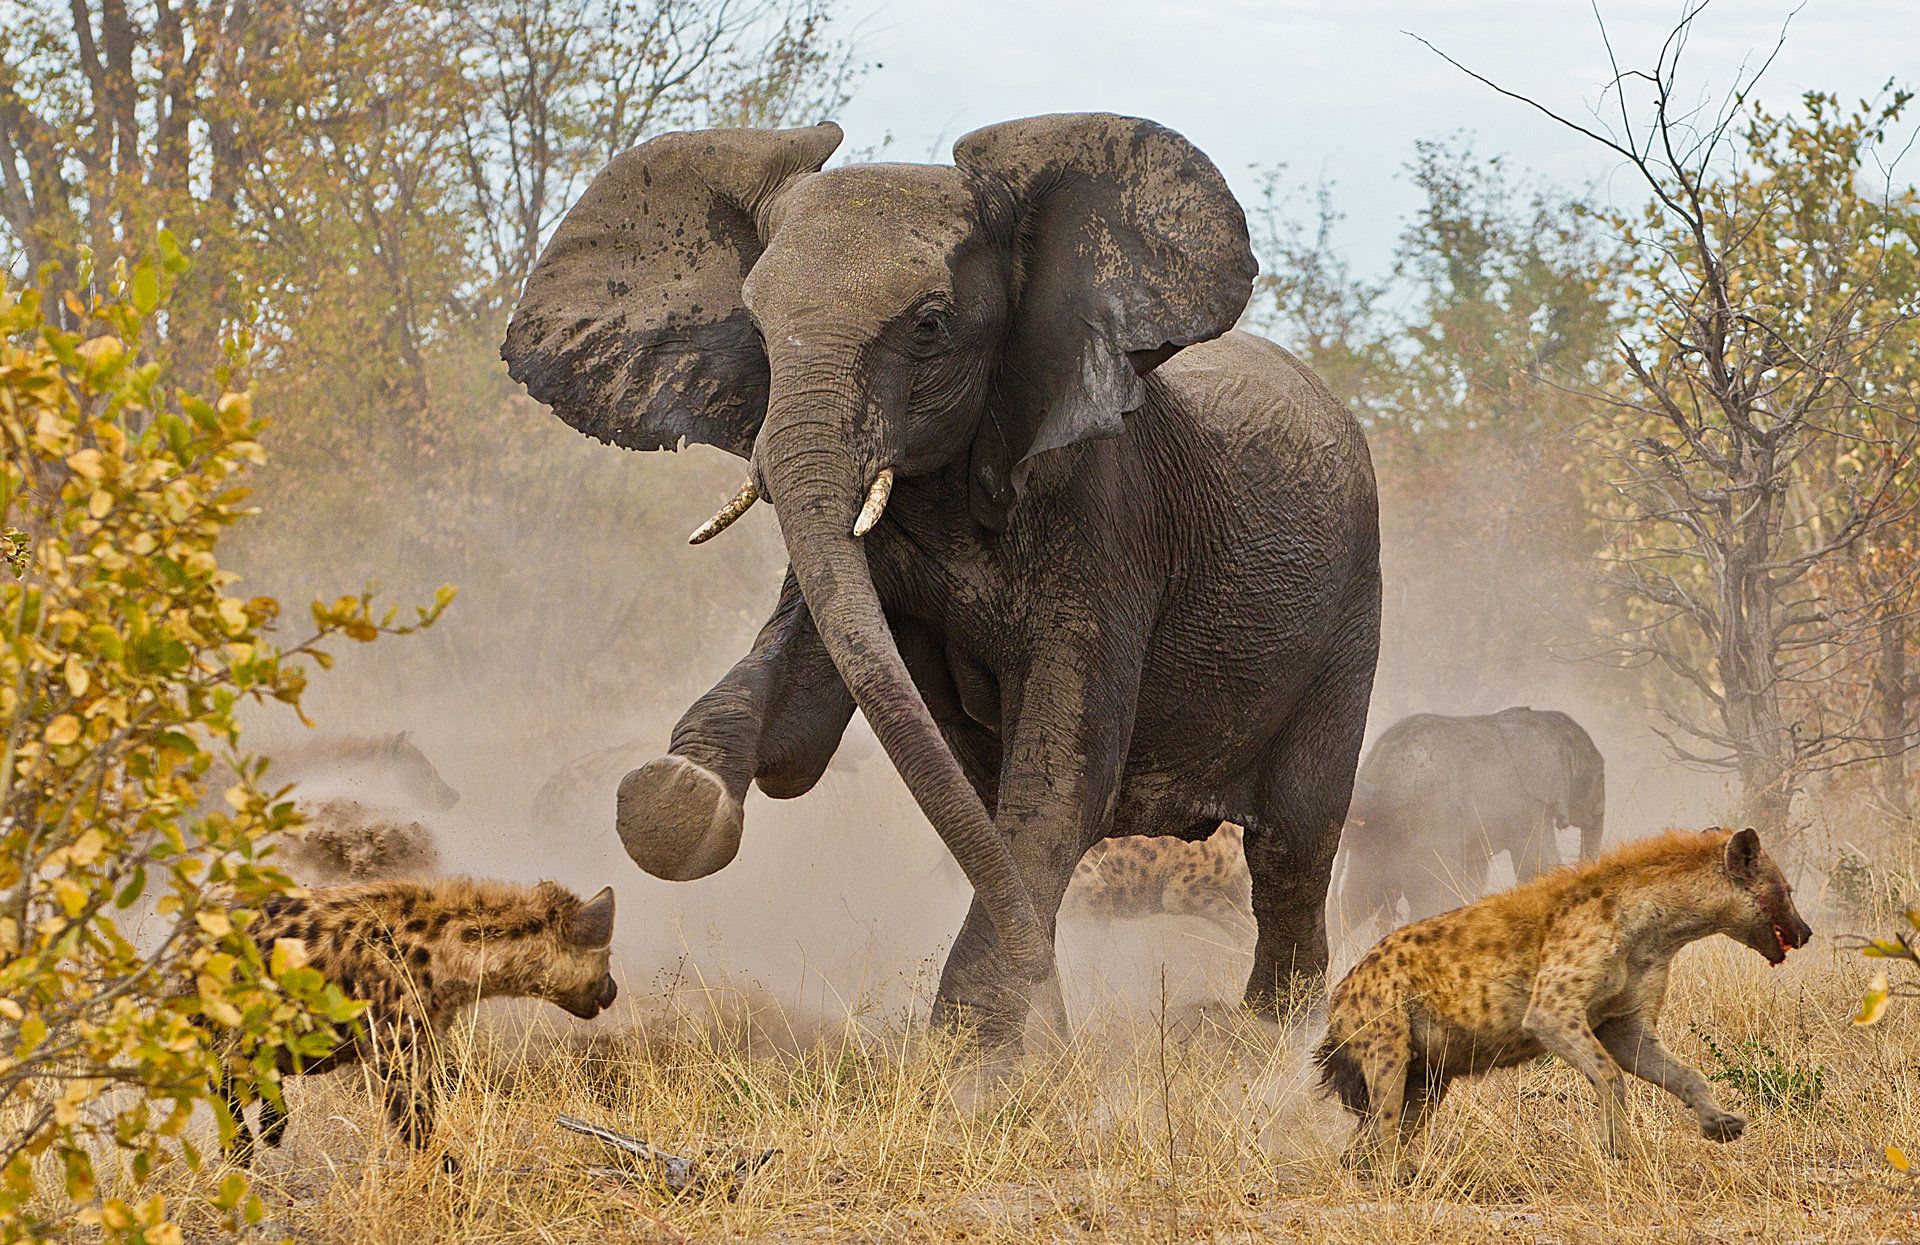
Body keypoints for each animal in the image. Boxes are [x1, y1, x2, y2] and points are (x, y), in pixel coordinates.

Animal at [502, 113, 1382, 1045]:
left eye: (928, 325)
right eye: (757, 329)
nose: (1060, 1026)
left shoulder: (1108, 513)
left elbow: (1064, 773)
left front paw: (974, 1057)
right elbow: (804, 706)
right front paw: (676, 795)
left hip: (1350, 612)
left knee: (1291, 842)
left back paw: (1271, 1036)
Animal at [1332, 707, 1606, 934]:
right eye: (1598, 774)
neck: (1543, 721)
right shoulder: (1528, 804)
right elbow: (1538, 863)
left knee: (1356, 900)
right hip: (1426, 827)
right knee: (1430, 898)